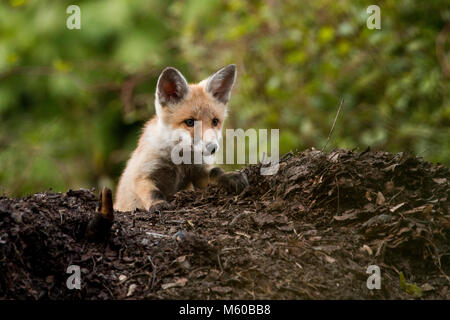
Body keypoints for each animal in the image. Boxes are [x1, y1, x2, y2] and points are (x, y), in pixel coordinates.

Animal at [115, 64, 250, 212]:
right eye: (190, 122)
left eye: (215, 121)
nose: (212, 148)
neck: (179, 161)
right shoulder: (143, 174)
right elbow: (152, 192)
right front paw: (158, 204)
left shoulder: (198, 174)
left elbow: (215, 171)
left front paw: (229, 175)